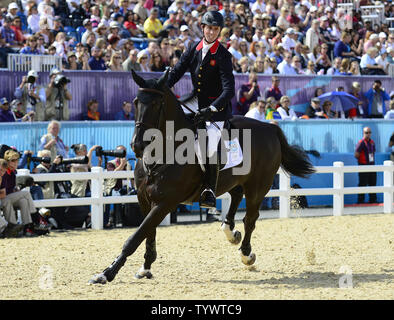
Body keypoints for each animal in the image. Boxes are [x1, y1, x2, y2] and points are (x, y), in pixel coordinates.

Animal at [88, 70, 314, 284]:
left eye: (156, 104)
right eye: (136, 102)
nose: (137, 145)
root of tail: (270, 127)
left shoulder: (165, 203)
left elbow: (135, 237)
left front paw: (106, 273)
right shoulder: (144, 200)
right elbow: (148, 233)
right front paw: (145, 267)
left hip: (258, 186)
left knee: (250, 218)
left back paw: (246, 254)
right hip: (234, 179)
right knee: (235, 197)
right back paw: (230, 232)